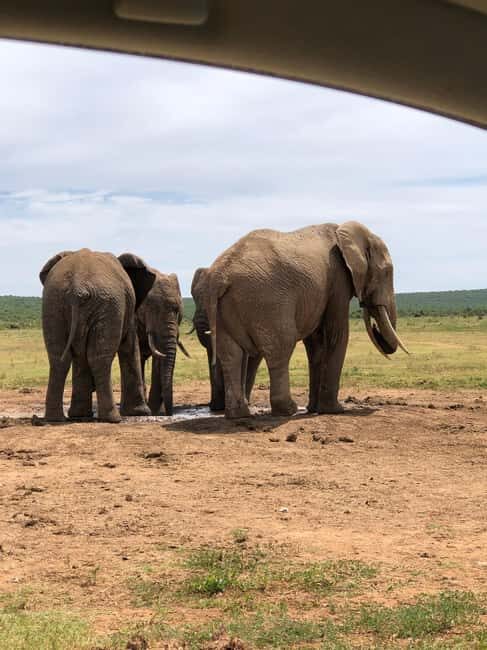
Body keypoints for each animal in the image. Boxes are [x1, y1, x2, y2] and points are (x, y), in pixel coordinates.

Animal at [40, 248, 155, 423]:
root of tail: (78, 286)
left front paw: (79, 415)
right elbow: (130, 347)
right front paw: (140, 413)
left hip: (54, 305)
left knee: (58, 358)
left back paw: (55, 419)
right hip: (108, 306)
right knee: (99, 358)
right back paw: (113, 419)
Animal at [204, 221, 408, 419]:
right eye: (387, 272)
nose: (375, 327)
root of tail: (220, 278)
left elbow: (315, 343)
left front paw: (313, 409)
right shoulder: (338, 279)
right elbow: (337, 333)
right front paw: (334, 410)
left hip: (223, 311)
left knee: (231, 355)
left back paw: (238, 415)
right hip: (266, 302)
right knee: (280, 348)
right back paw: (288, 410)